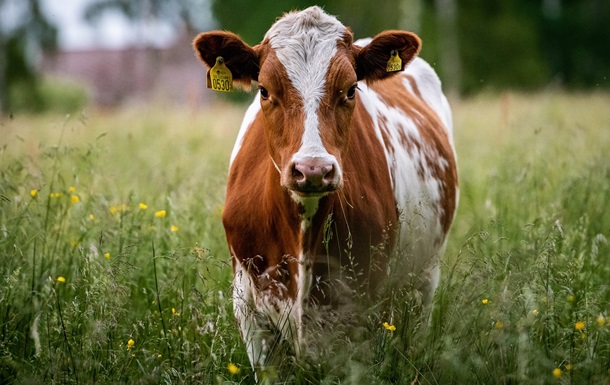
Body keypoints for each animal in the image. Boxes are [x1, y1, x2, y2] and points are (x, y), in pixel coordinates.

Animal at [192, 4, 454, 374]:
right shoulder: (250, 310)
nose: (312, 169)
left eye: (351, 89)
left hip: (424, 278)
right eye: (264, 90)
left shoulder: (362, 311)